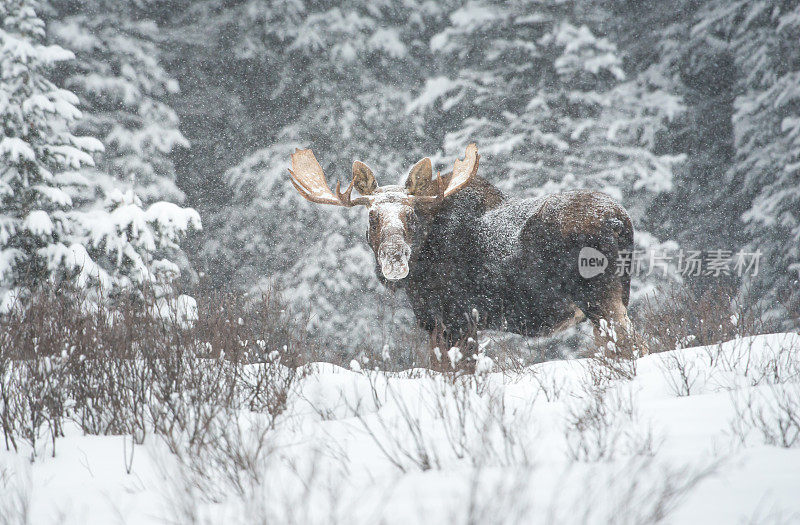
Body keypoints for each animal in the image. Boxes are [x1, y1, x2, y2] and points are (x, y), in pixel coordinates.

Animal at [290, 143, 640, 368]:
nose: (393, 258)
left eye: (411, 215)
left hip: (599, 298)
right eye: (372, 216)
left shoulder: (453, 318)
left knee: (631, 346)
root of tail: (621, 220)